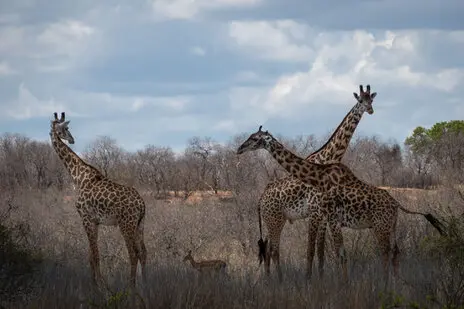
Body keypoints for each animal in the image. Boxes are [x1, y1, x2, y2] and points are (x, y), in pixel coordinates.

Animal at [49, 111, 147, 286]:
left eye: (66, 128)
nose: (72, 140)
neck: (78, 177)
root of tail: (142, 204)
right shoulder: (95, 221)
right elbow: (91, 256)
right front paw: (93, 285)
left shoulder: (86, 218)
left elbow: (95, 255)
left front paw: (101, 285)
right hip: (140, 225)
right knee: (143, 253)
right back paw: (146, 285)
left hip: (126, 225)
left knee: (133, 253)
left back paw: (132, 286)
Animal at [237, 125, 444, 280]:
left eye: (255, 138)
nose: (240, 148)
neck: (318, 175)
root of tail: (396, 204)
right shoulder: (327, 219)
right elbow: (333, 253)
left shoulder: (329, 218)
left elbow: (336, 254)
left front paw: (339, 285)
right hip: (390, 226)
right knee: (395, 251)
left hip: (380, 226)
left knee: (385, 251)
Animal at [256, 83, 376, 280]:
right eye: (360, 100)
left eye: (371, 99)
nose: (370, 110)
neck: (328, 157)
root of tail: (261, 198)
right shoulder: (315, 212)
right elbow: (311, 250)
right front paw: (311, 279)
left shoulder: (323, 215)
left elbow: (321, 251)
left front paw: (321, 277)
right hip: (274, 220)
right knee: (271, 248)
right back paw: (271, 280)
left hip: (274, 220)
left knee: (267, 247)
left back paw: (268, 279)